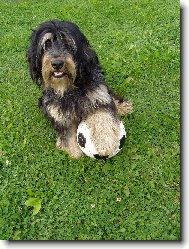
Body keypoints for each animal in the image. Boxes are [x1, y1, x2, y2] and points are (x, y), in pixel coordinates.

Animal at [27, 20, 132, 159]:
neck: (69, 88)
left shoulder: (97, 96)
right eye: (47, 44)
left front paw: (105, 144)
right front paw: (73, 150)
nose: (57, 64)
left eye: (68, 44)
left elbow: (102, 117)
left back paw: (123, 106)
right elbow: (66, 131)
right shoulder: (57, 111)